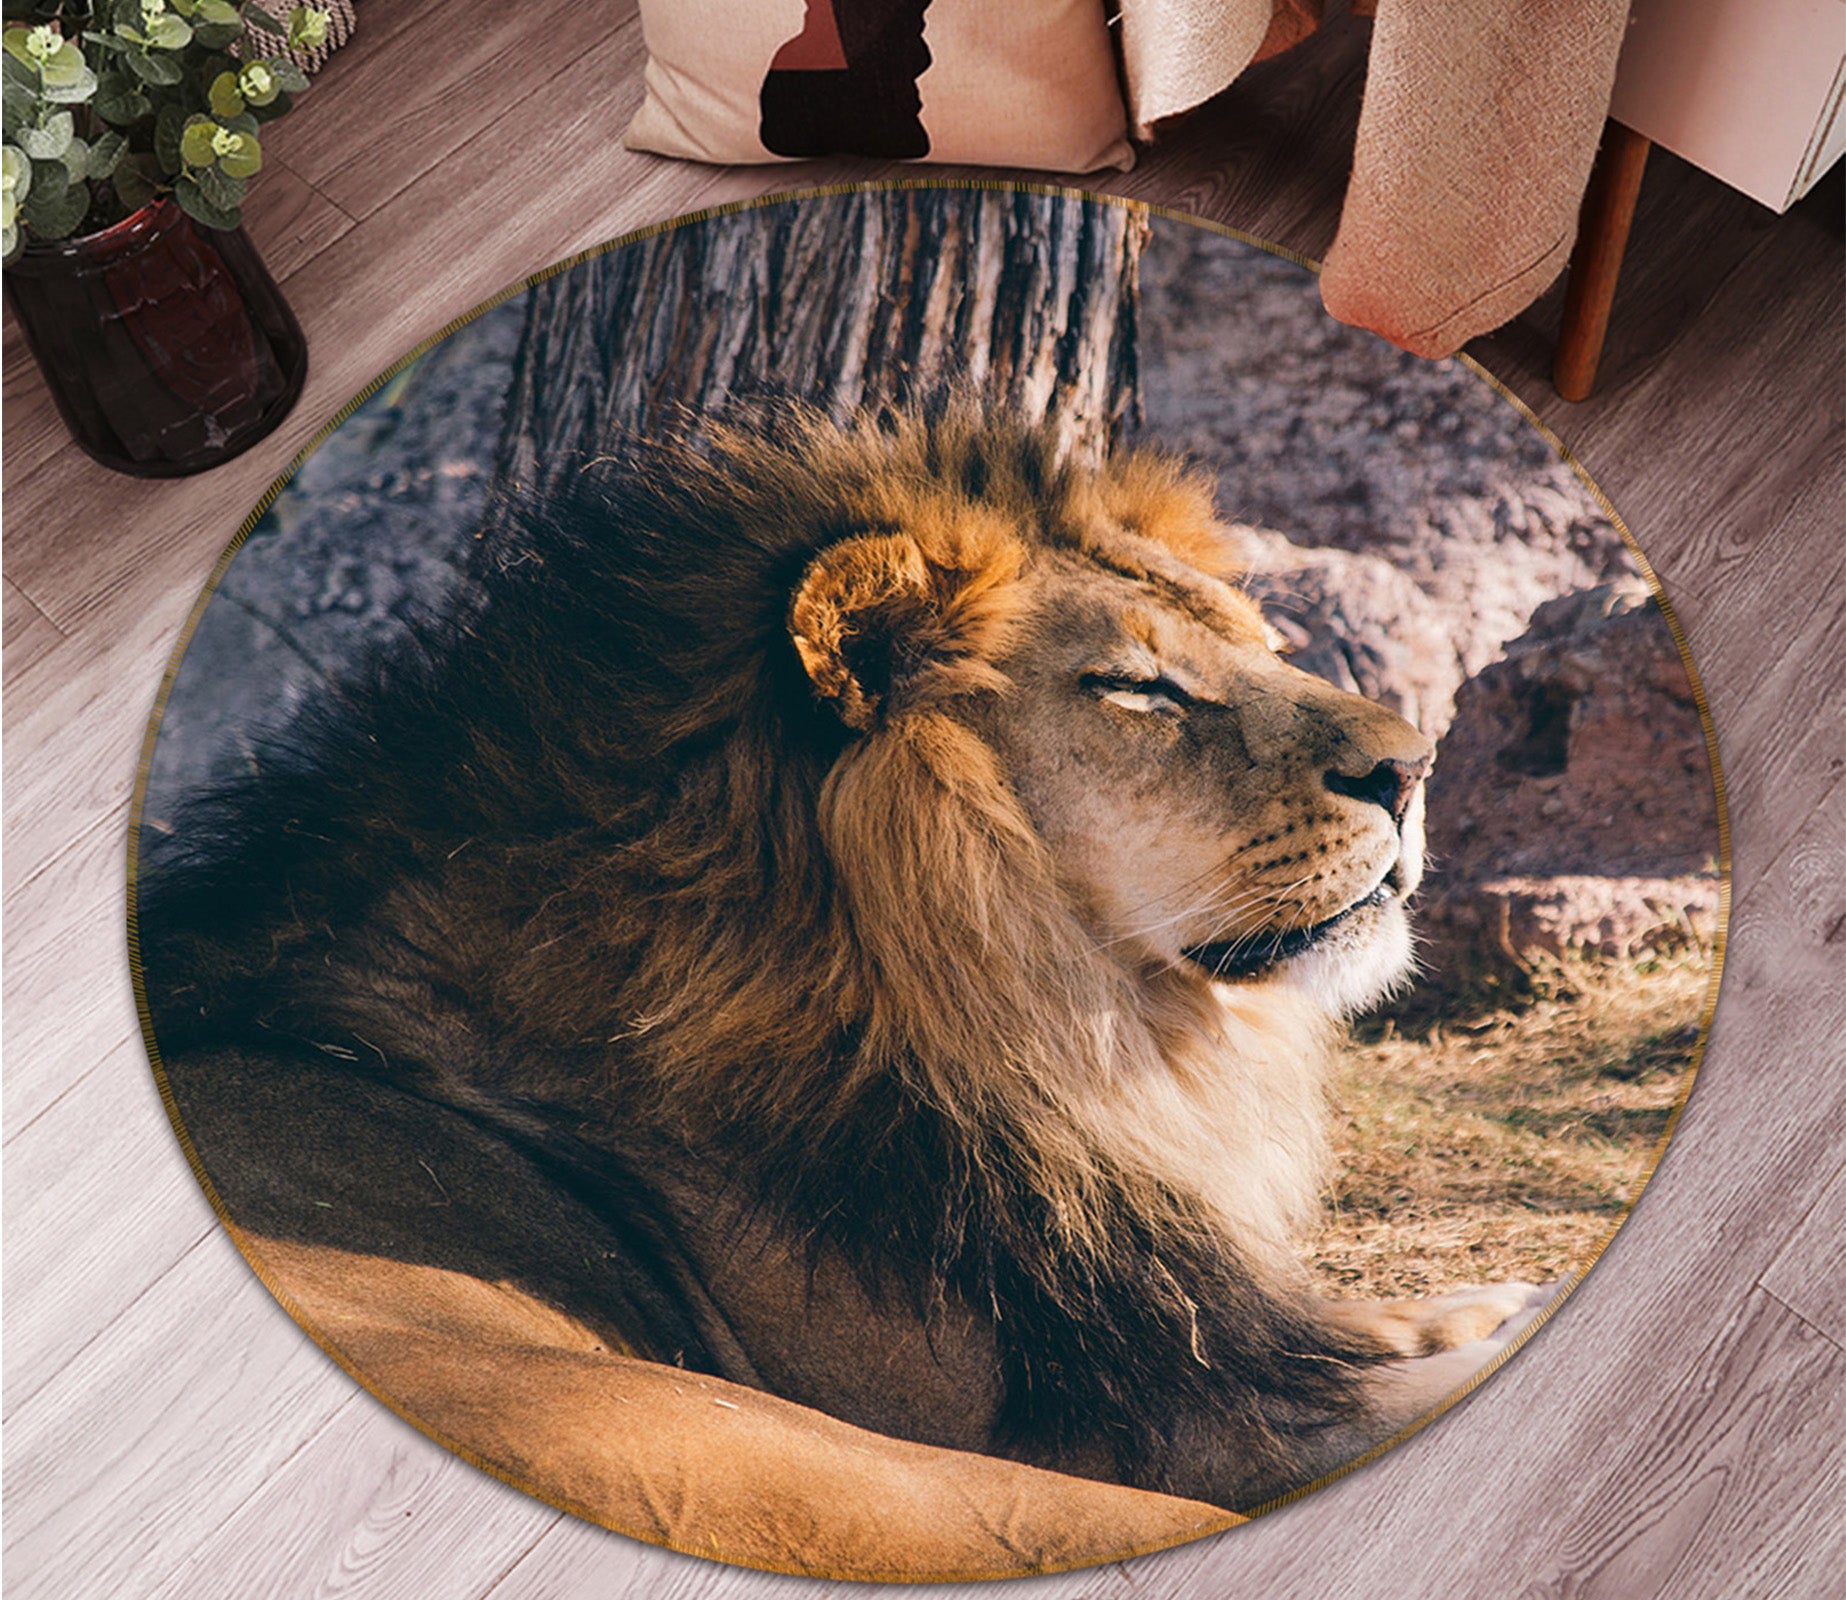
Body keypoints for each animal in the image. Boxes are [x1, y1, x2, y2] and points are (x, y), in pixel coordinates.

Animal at [138, 404, 1548, 1530]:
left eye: (1260, 643)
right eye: (1138, 688)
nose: (1414, 765)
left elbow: (1332, 1322)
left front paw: (1482, 1299)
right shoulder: (1119, 1420)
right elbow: (1369, 1392)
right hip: (786, 1447)